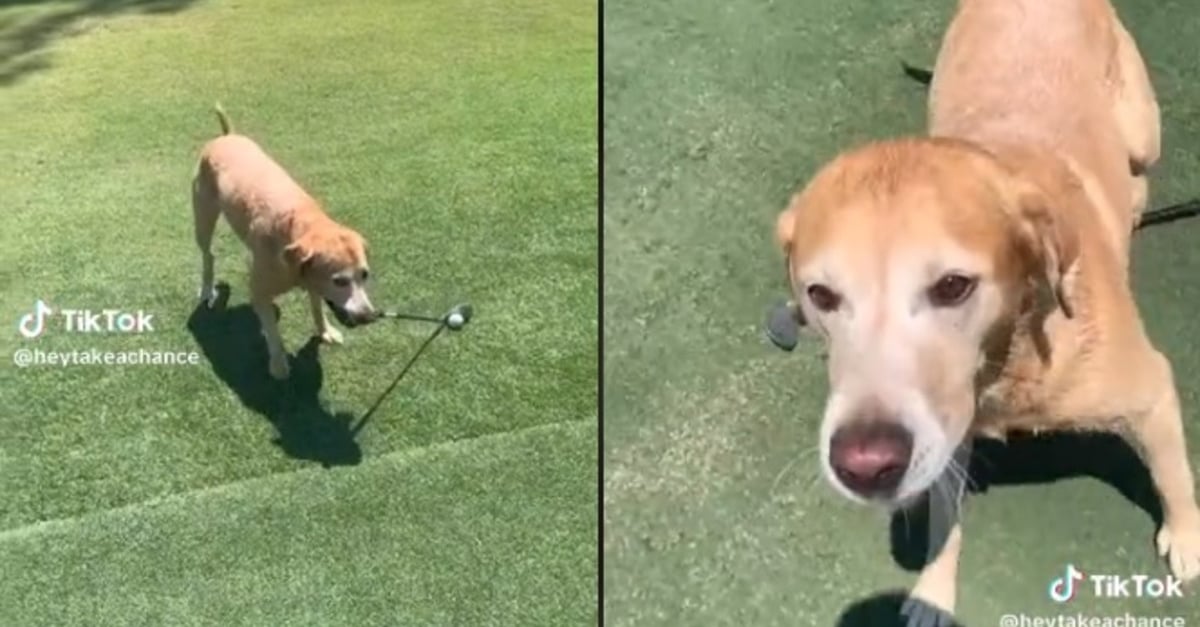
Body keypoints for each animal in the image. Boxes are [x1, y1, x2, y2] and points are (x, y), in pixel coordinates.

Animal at [190, 105, 374, 377]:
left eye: (365, 275)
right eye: (339, 281)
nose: (369, 316)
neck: (298, 229)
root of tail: (226, 136)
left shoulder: (311, 277)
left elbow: (316, 306)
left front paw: (324, 331)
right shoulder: (260, 293)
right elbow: (274, 335)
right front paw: (278, 364)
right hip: (203, 217)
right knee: (208, 255)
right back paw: (206, 289)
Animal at [772, 0, 1195, 619]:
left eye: (953, 287)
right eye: (821, 295)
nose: (865, 465)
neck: (1007, 357)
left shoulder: (1151, 390)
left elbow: (1173, 475)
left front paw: (1187, 539)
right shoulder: (945, 436)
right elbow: (943, 516)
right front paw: (933, 593)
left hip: (1144, 128)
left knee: (1138, 166)